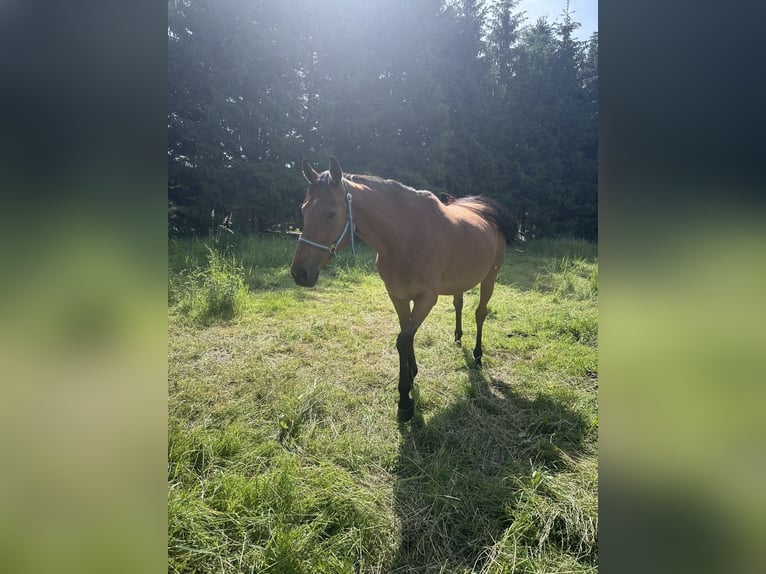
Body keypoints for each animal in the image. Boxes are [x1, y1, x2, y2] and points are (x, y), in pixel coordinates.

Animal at [290, 157, 518, 421]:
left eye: (330, 213)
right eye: (303, 209)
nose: (299, 273)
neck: (405, 238)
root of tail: (485, 211)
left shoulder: (426, 299)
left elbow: (403, 339)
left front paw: (405, 400)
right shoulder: (397, 296)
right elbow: (406, 336)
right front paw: (412, 375)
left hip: (489, 279)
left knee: (480, 313)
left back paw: (478, 355)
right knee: (458, 303)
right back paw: (458, 337)